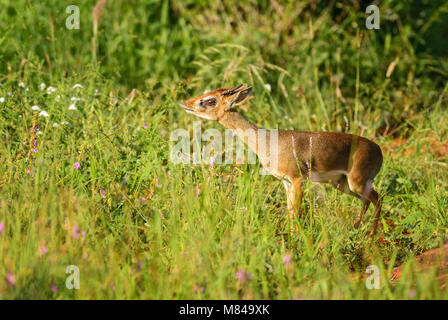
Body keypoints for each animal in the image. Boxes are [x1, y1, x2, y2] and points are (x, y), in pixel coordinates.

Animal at [180, 84, 384, 236]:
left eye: (210, 100)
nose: (184, 103)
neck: (266, 141)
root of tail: (379, 151)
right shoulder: (286, 182)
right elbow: (290, 212)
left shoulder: (297, 180)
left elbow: (296, 212)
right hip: (343, 185)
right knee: (368, 200)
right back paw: (356, 230)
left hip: (356, 182)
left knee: (378, 198)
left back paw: (371, 237)